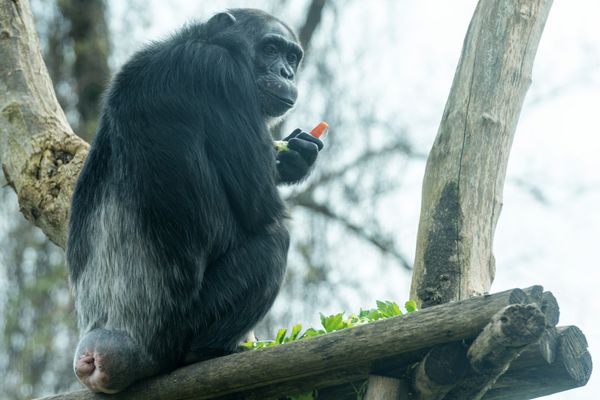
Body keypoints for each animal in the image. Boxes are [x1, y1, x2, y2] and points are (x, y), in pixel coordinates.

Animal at [65, 8, 324, 394]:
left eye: (292, 57)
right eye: (271, 49)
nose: (286, 72)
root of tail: (107, 344)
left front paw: (296, 154)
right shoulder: (222, 75)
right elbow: (261, 206)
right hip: (178, 331)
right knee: (274, 242)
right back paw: (210, 352)